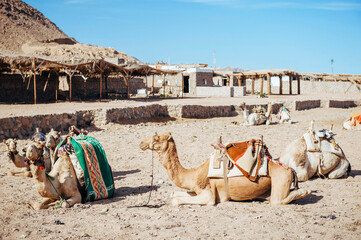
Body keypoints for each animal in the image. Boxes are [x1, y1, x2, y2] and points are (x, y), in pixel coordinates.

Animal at [138, 132, 310, 205]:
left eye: (157, 138)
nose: (141, 143)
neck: (194, 173)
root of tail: (290, 170)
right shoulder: (196, 189)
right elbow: (174, 194)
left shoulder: (208, 195)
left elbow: (176, 200)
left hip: (280, 180)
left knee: (281, 199)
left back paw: (305, 190)